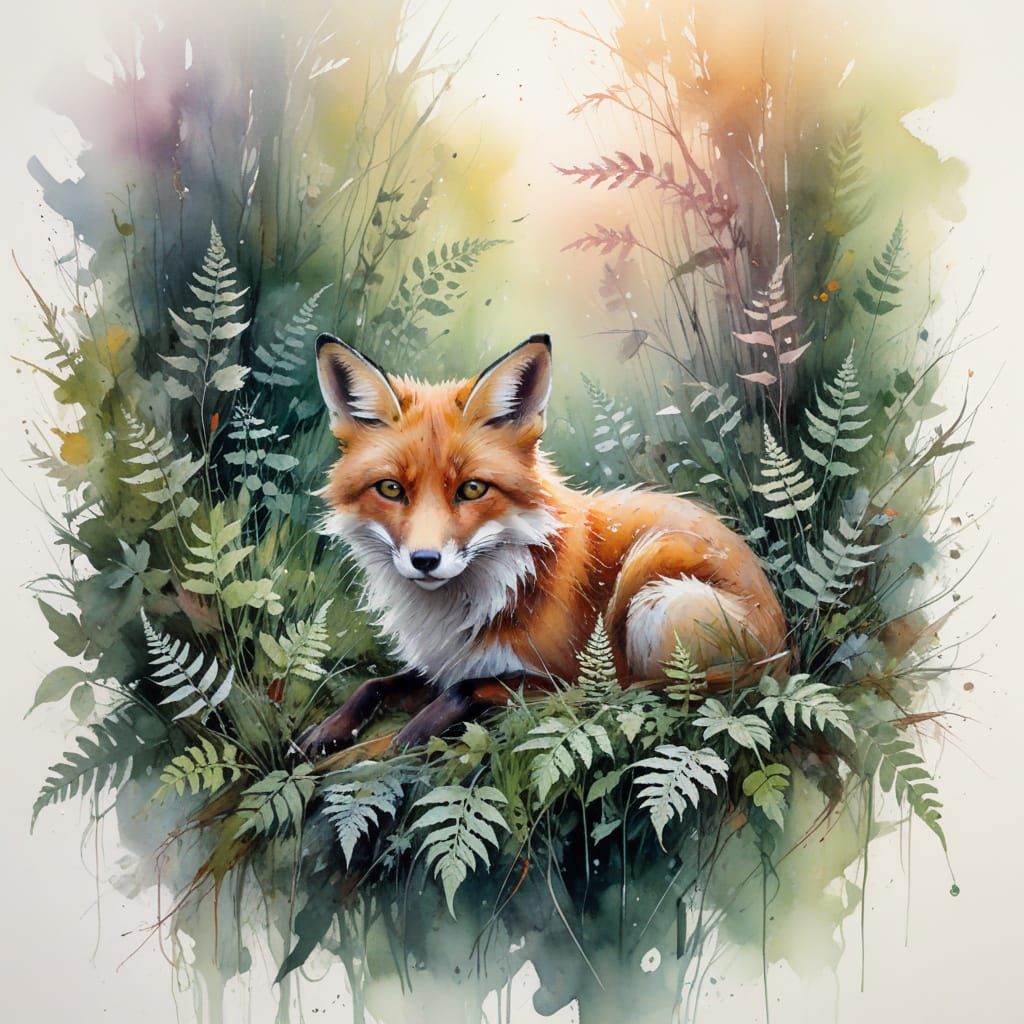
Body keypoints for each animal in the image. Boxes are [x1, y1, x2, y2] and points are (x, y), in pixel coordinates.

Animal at [297, 333, 789, 756]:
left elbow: (465, 690)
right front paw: (328, 731)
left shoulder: (561, 675)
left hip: (654, 594)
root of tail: (786, 648)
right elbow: (375, 686)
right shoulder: (447, 661)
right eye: (391, 489)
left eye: (472, 489)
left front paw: (413, 734)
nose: (425, 561)